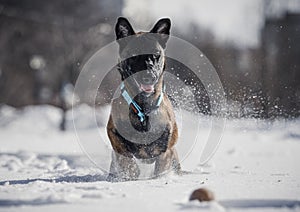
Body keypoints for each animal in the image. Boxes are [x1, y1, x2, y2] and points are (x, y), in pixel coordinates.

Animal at [106, 16, 179, 181]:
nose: (149, 77)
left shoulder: (166, 147)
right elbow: (125, 155)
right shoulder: (113, 132)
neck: (143, 108)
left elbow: (161, 164)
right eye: (134, 55)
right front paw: (131, 173)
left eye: (156, 54)